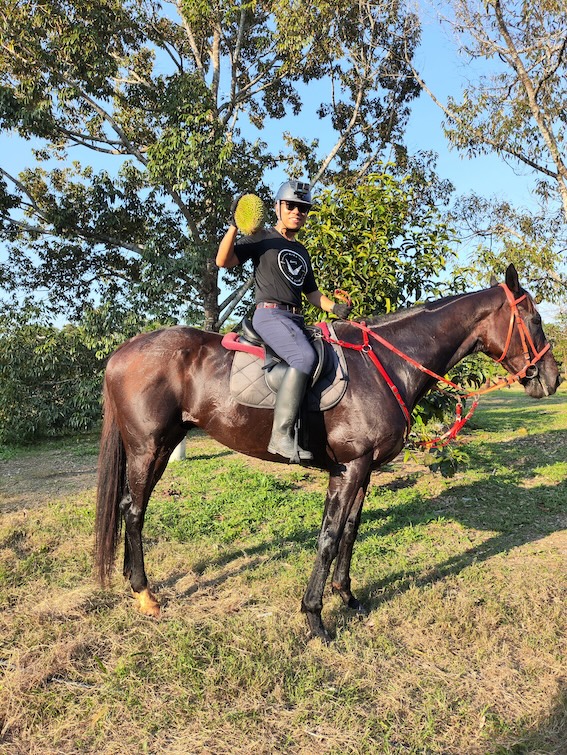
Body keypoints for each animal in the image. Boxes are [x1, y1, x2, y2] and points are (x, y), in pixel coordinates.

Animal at [95, 266, 560, 644]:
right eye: (535, 320)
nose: (552, 378)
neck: (385, 364)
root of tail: (121, 353)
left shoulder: (365, 470)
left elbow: (351, 532)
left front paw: (347, 596)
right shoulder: (347, 468)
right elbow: (328, 538)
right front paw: (315, 618)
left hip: (159, 446)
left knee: (128, 506)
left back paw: (132, 581)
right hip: (148, 447)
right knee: (134, 512)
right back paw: (145, 594)